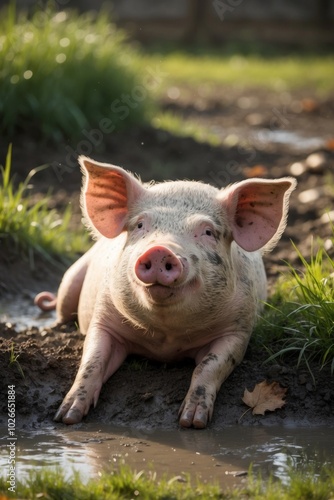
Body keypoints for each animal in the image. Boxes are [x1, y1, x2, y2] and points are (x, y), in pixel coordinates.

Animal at [35, 157, 296, 430]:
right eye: (140, 225)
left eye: (208, 232)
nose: (160, 250)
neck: (166, 341)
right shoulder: (103, 316)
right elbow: (92, 360)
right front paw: (67, 417)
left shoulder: (238, 330)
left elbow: (209, 366)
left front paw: (192, 421)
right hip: (71, 278)